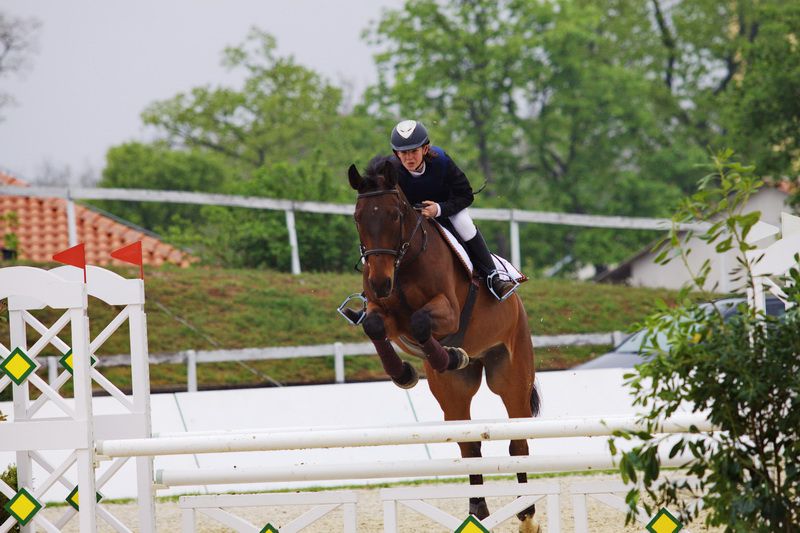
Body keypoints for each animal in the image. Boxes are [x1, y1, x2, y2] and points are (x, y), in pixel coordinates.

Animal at [346, 156, 540, 528]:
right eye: (358, 217)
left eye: (395, 215)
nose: (379, 283)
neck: (405, 262)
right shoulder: (385, 315)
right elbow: (376, 325)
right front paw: (405, 373)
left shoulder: (447, 311)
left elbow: (422, 321)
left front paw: (447, 356)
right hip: (453, 392)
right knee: (469, 446)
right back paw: (477, 509)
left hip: (511, 375)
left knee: (518, 443)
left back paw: (526, 510)